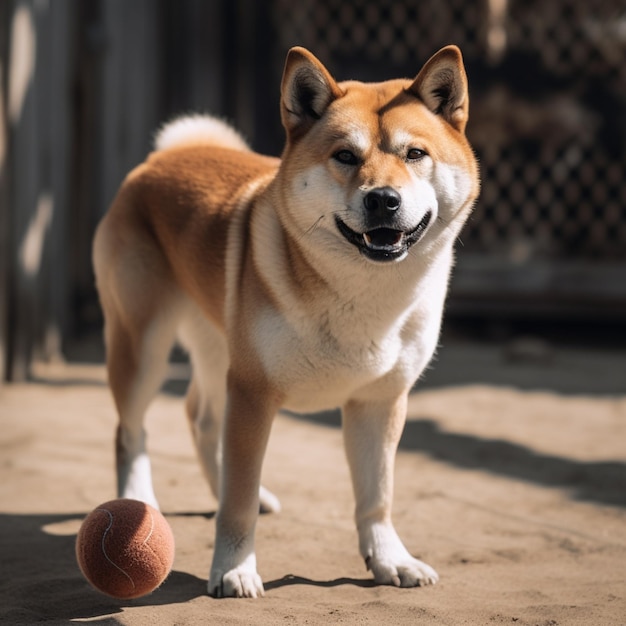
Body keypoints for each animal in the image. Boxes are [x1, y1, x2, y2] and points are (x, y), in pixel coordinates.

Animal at [94, 42, 478, 596]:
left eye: (414, 154)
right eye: (345, 156)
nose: (383, 199)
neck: (363, 294)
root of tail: (160, 158)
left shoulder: (379, 401)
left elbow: (376, 498)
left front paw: (391, 560)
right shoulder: (254, 392)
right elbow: (237, 503)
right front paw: (234, 569)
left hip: (218, 350)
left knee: (200, 416)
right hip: (143, 348)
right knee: (131, 432)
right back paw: (139, 503)